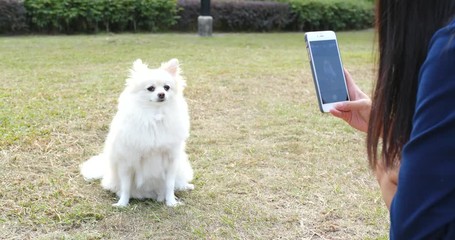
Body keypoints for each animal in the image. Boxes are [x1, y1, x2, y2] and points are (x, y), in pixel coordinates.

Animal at [80, 58, 194, 206]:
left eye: (166, 87)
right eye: (151, 88)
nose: (161, 94)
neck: (154, 115)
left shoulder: (171, 159)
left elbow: (170, 184)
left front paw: (171, 203)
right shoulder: (127, 161)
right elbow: (126, 186)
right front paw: (122, 204)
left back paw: (185, 186)